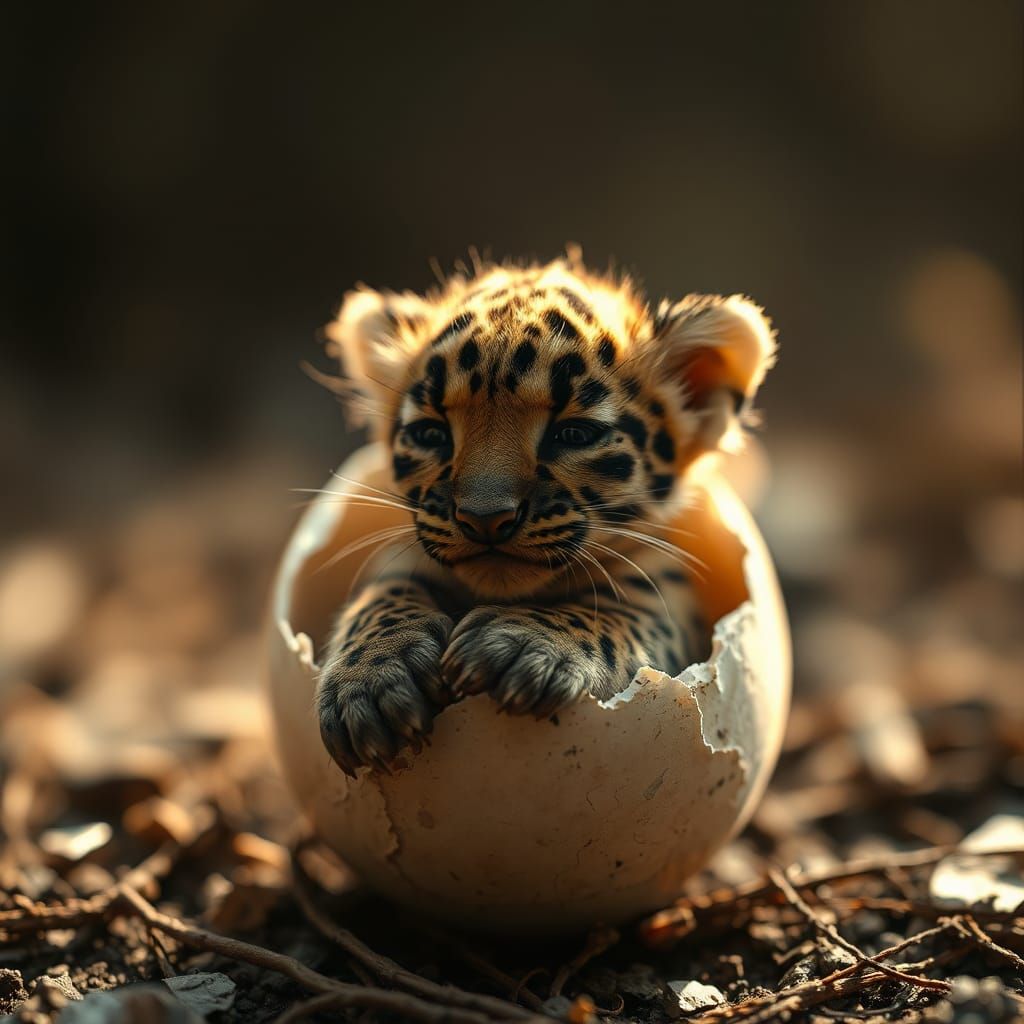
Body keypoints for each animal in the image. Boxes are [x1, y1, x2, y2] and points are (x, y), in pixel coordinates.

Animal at [315, 251, 776, 776]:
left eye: (573, 434)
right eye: (431, 434)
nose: (484, 518)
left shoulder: (670, 601)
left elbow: (618, 610)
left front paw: (525, 644)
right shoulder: (404, 558)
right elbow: (382, 591)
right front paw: (370, 681)